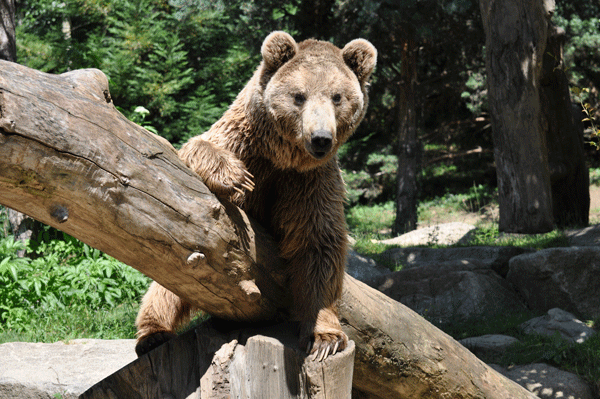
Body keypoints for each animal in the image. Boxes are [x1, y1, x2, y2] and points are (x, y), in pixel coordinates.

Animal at [136, 32, 378, 362]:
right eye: (299, 96)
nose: (320, 139)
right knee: (168, 282)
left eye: (337, 97)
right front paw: (236, 178)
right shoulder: (243, 143)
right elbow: (193, 149)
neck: (283, 157)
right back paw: (152, 334)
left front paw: (325, 338)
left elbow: (318, 245)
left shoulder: (309, 182)